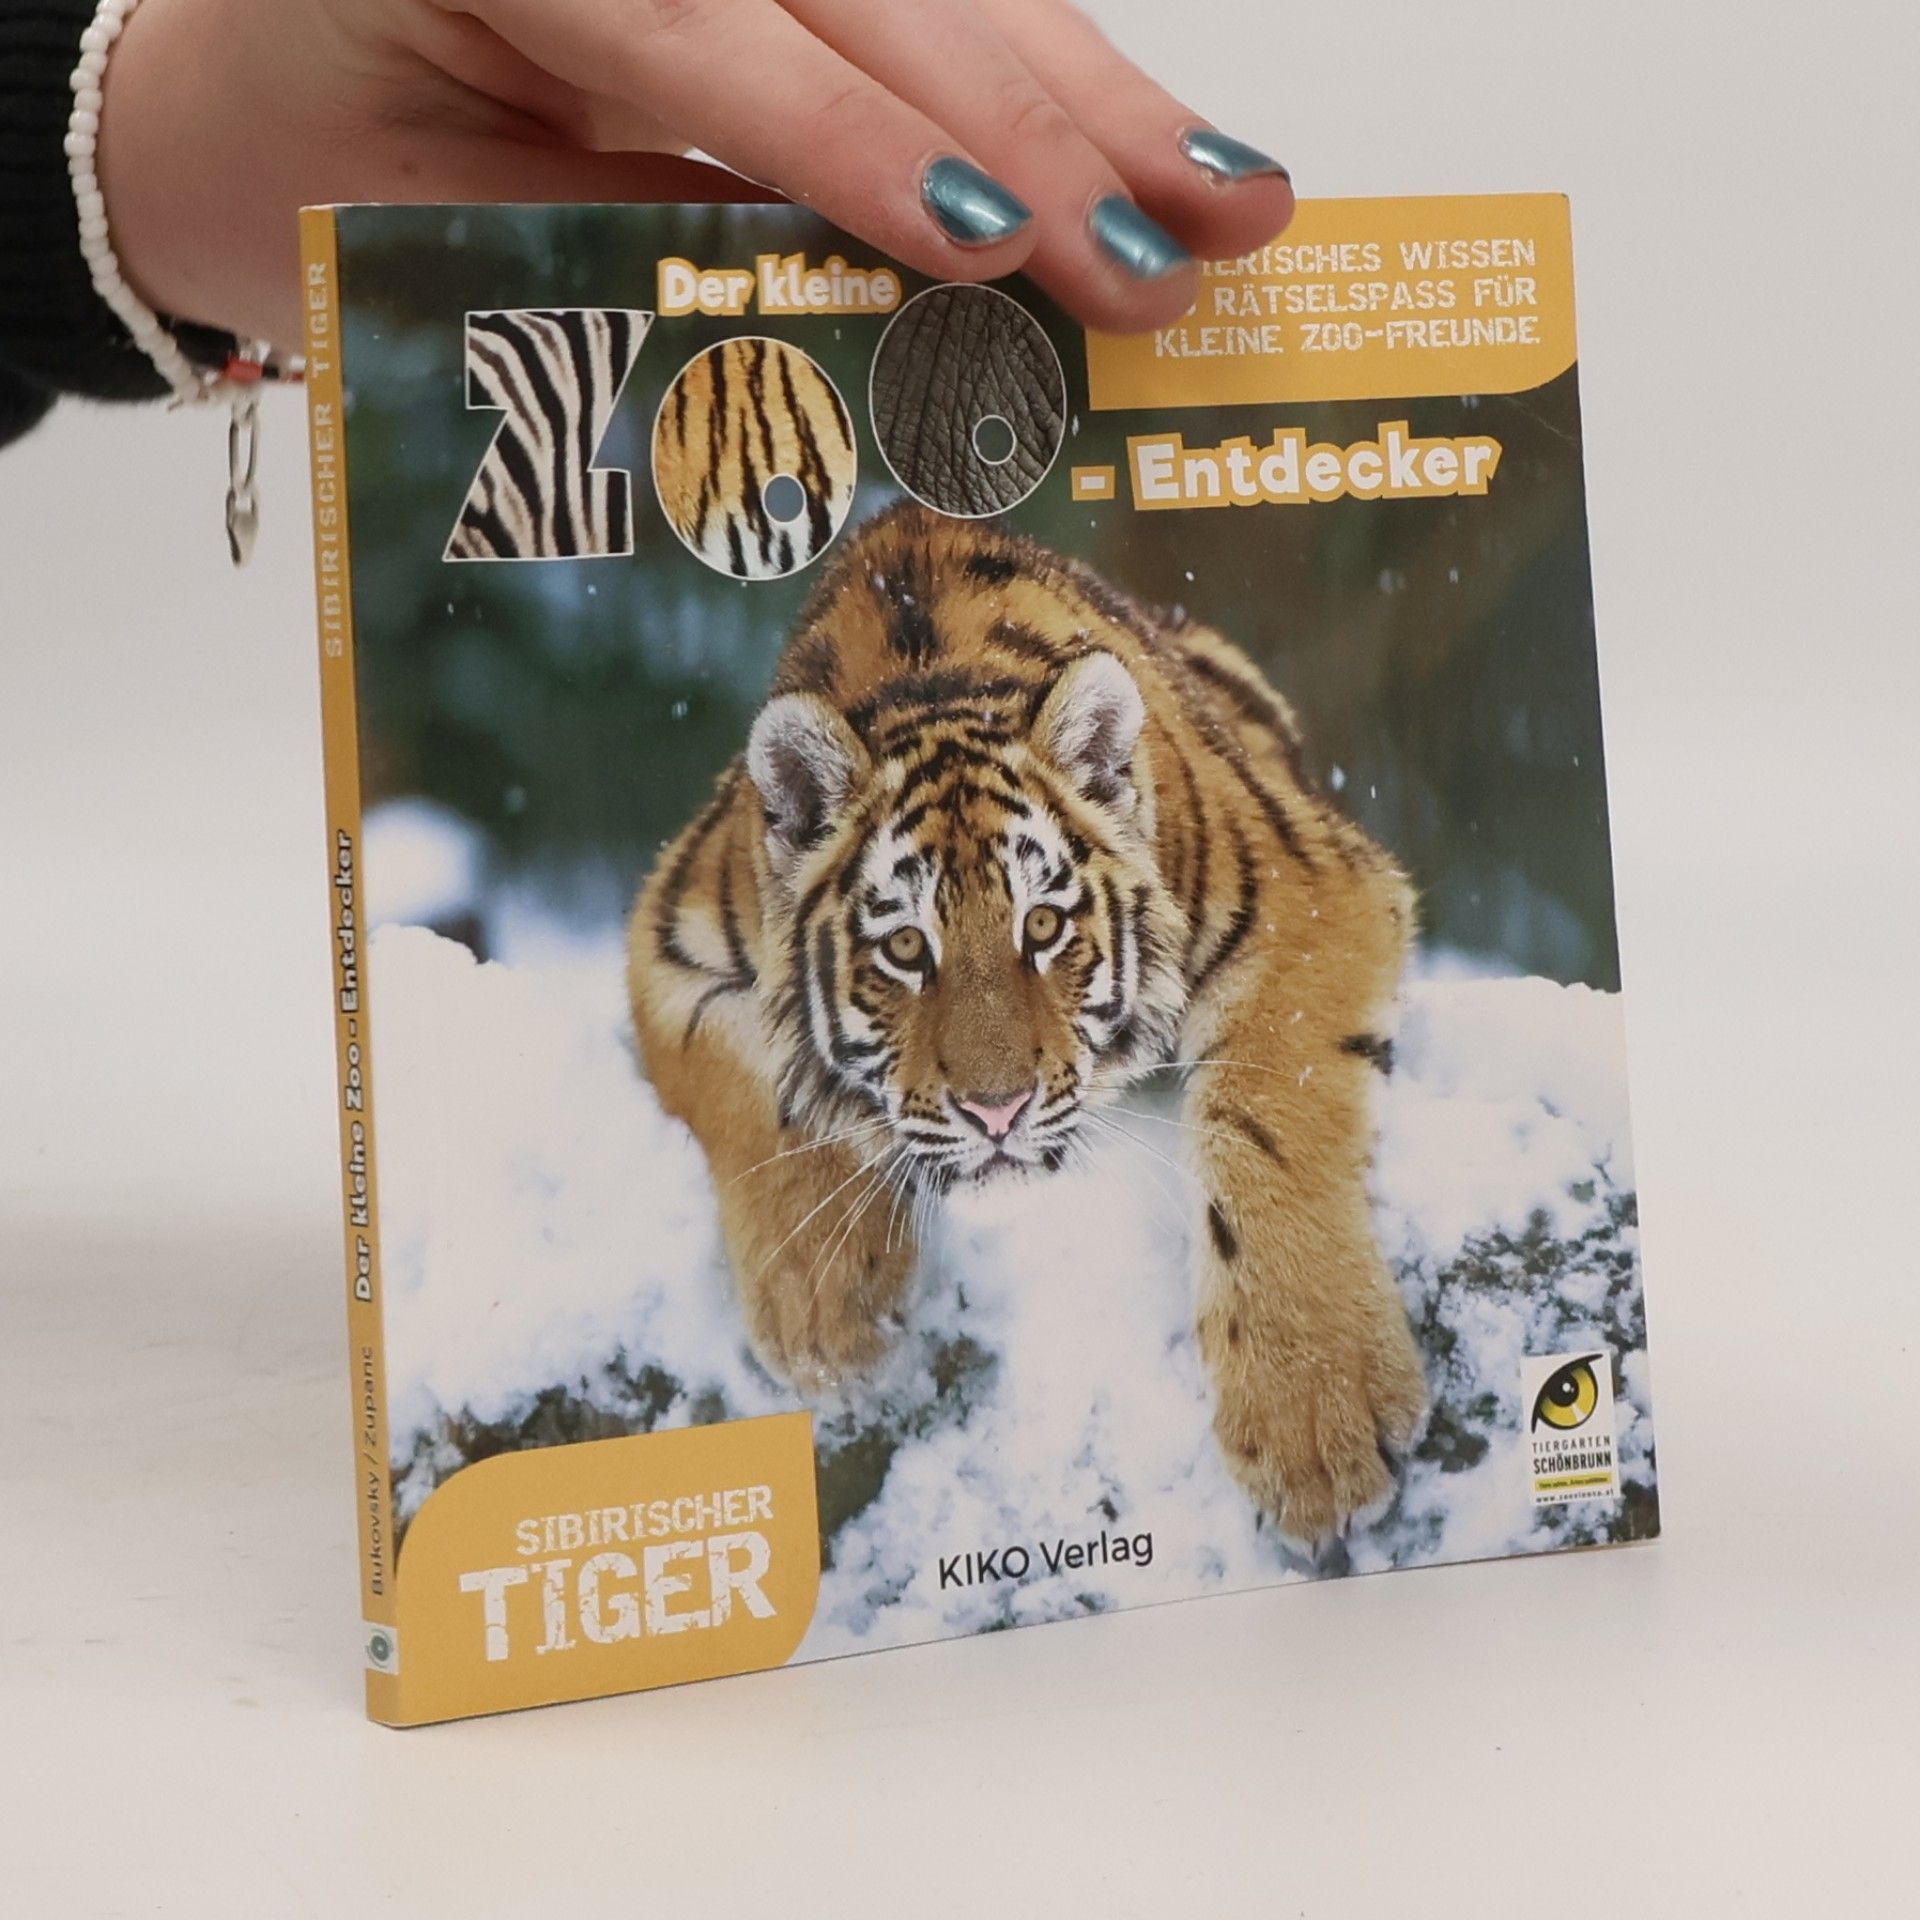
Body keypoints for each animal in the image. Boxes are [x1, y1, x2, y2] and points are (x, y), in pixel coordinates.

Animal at [628, 503, 1428, 1547]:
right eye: (905, 947)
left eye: (1042, 926)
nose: (996, 1112)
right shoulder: (669, 937)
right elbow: (765, 1094)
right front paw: (828, 1313)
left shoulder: (1311, 888)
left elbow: (1266, 1119)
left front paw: (1315, 1422)